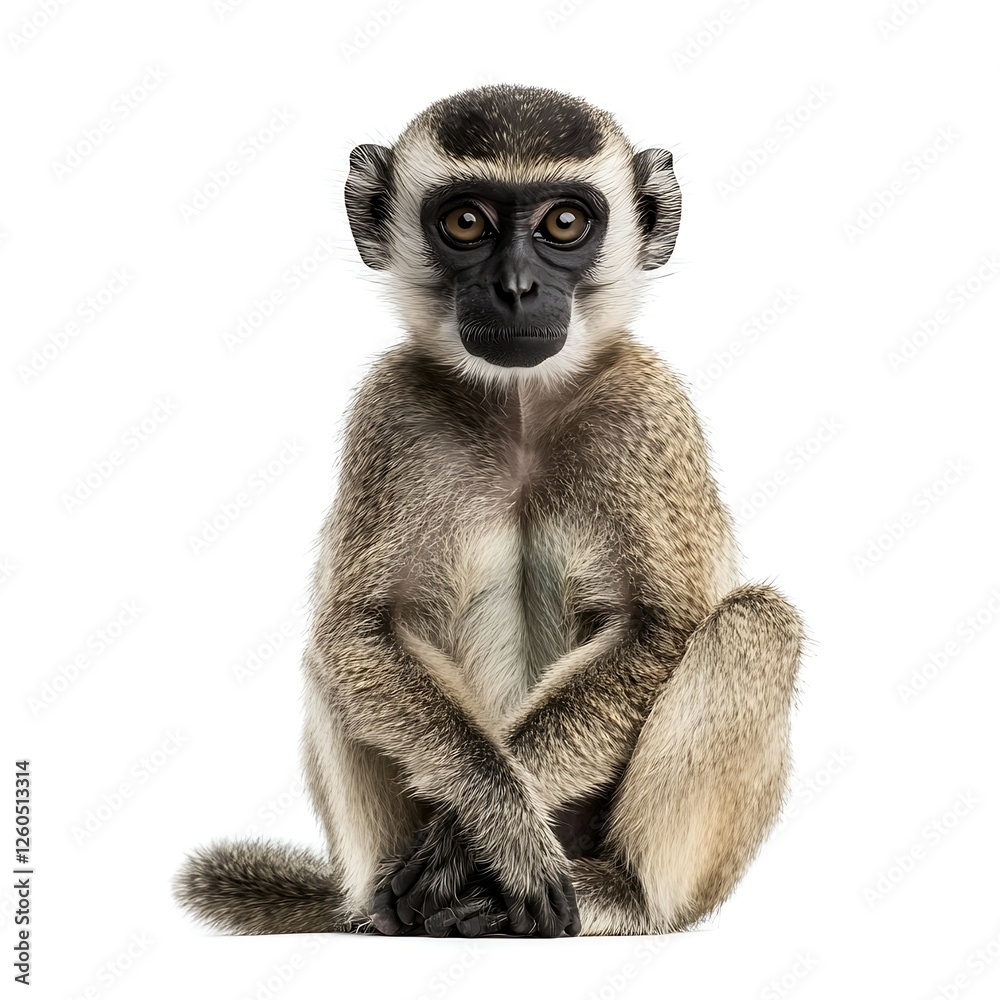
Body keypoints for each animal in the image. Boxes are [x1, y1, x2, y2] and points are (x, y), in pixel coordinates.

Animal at [174, 84, 804, 939]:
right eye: (466, 222)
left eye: (564, 224)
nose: (514, 288)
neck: (519, 411)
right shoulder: (392, 410)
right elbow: (358, 631)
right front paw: (491, 814)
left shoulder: (647, 407)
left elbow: (659, 628)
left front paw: (462, 843)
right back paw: (390, 910)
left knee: (755, 622)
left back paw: (622, 891)